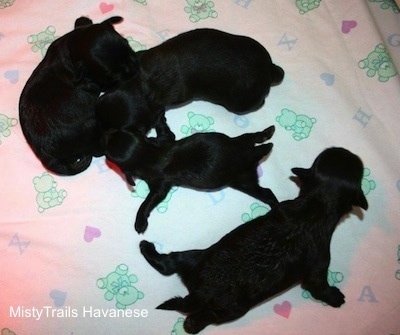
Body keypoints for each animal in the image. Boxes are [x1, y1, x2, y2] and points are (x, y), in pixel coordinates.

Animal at [19, 16, 138, 176]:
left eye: (127, 45)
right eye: (109, 73)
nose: (135, 68)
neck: (72, 48)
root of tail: (47, 157)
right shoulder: (93, 85)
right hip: (91, 126)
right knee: (97, 149)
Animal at [105, 125, 278, 234]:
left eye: (108, 151)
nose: (107, 132)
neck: (150, 154)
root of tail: (250, 155)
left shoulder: (160, 185)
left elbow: (148, 200)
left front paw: (140, 221)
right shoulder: (164, 140)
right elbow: (166, 134)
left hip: (242, 179)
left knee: (267, 192)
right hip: (240, 157)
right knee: (250, 137)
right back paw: (267, 132)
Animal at [141, 148, 368, 334]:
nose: (350, 152)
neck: (318, 202)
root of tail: (198, 293)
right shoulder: (319, 264)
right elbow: (319, 286)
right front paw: (335, 297)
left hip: (194, 256)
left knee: (170, 263)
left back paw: (146, 247)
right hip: (231, 309)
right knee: (205, 318)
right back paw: (193, 324)